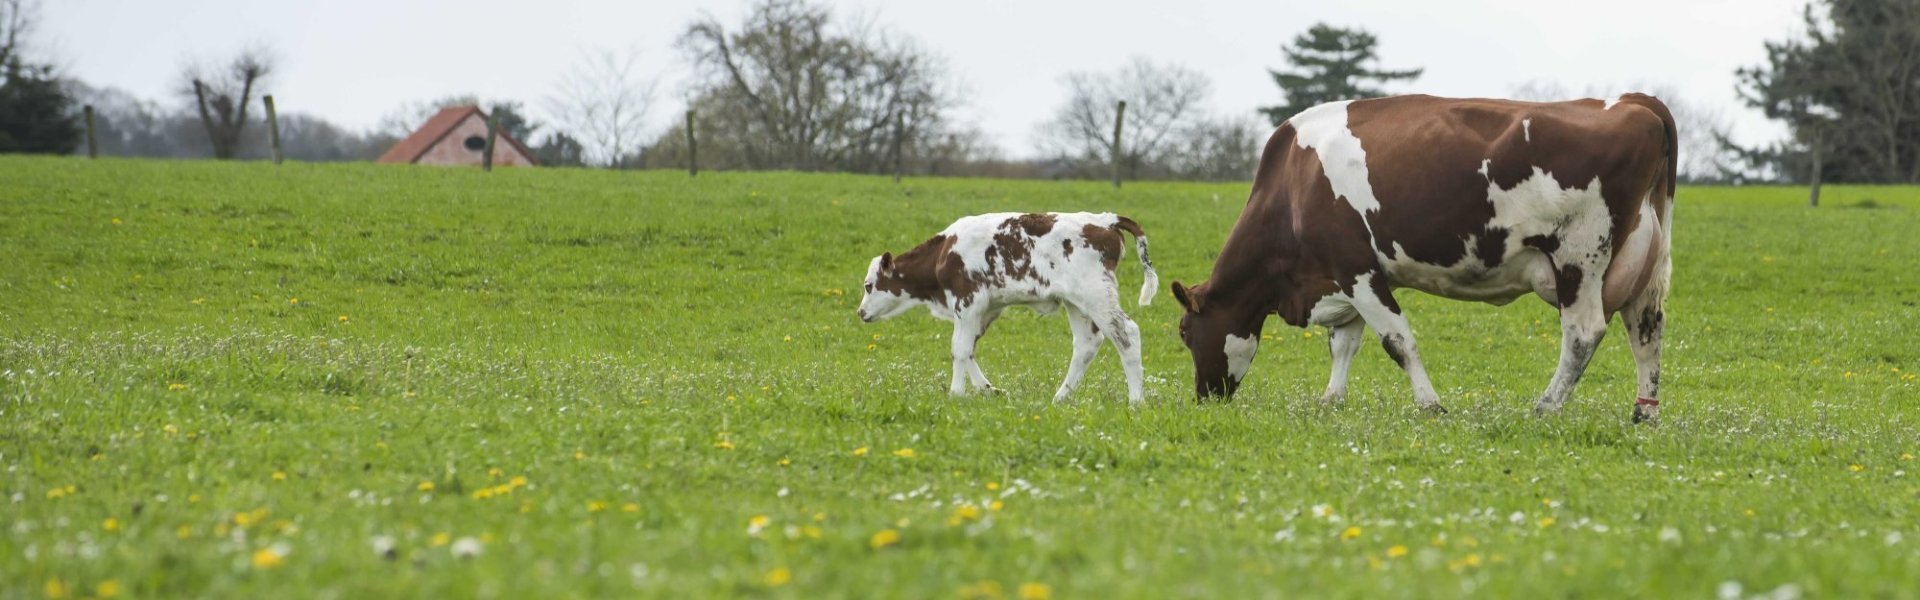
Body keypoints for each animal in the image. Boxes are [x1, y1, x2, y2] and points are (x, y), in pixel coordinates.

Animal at [867, 213, 1159, 405]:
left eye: (868, 285)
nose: (861, 312)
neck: (944, 252)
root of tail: (1104, 220)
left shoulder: (968, 301)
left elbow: (959, 349)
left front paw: (956, 393)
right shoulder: (986, 309)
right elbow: (968, 349)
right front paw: (987, 389)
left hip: (1096, 295)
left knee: (1127, 334)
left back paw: (1136, 401)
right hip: (1076, 302)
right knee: (1087, 344)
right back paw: (1060, 397)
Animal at [1159, 93, 1674, 421]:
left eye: (1185, 332)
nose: (1204, 399)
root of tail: (1633, 102)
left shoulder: (1357, 269)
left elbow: (1396, 340)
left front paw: (1430, 405)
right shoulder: (1343, 277)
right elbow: (1344, 343)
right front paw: (1331, 400)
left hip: (1579, 256)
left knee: (1584, 334)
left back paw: (1546, 407)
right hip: (1643, 265)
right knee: (1646, 330)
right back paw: (1644, 414)